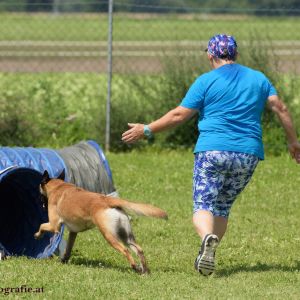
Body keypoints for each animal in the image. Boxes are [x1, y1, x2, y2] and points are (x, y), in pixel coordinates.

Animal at [34, 170, 169, 274]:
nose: (40, 202)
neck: (58, 186)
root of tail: (107, 200)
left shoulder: (54, 225)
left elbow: (41, 225)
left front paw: (37, 235)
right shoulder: (73, 232)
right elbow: (68, 249)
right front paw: (64, 260)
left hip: (109, 235)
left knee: (125, 251)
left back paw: (134, 267)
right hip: (126, 236)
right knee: (139, 249)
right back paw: (144, 271)